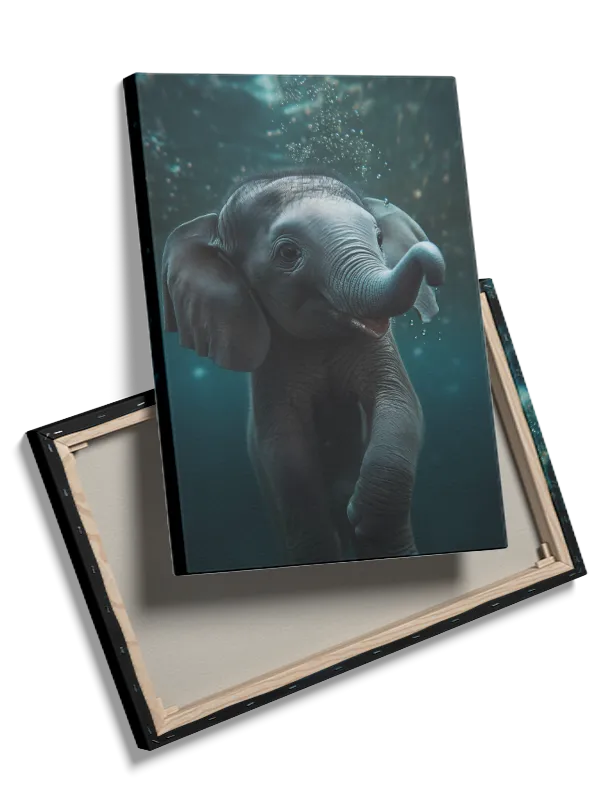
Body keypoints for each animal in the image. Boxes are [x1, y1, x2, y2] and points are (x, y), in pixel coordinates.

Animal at [162, 170, 446, 565]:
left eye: (378, 238)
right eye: (288, 253)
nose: (433, 266)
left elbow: (401, 404)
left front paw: (359, 511)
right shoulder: (273, 361)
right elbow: (284, 447)